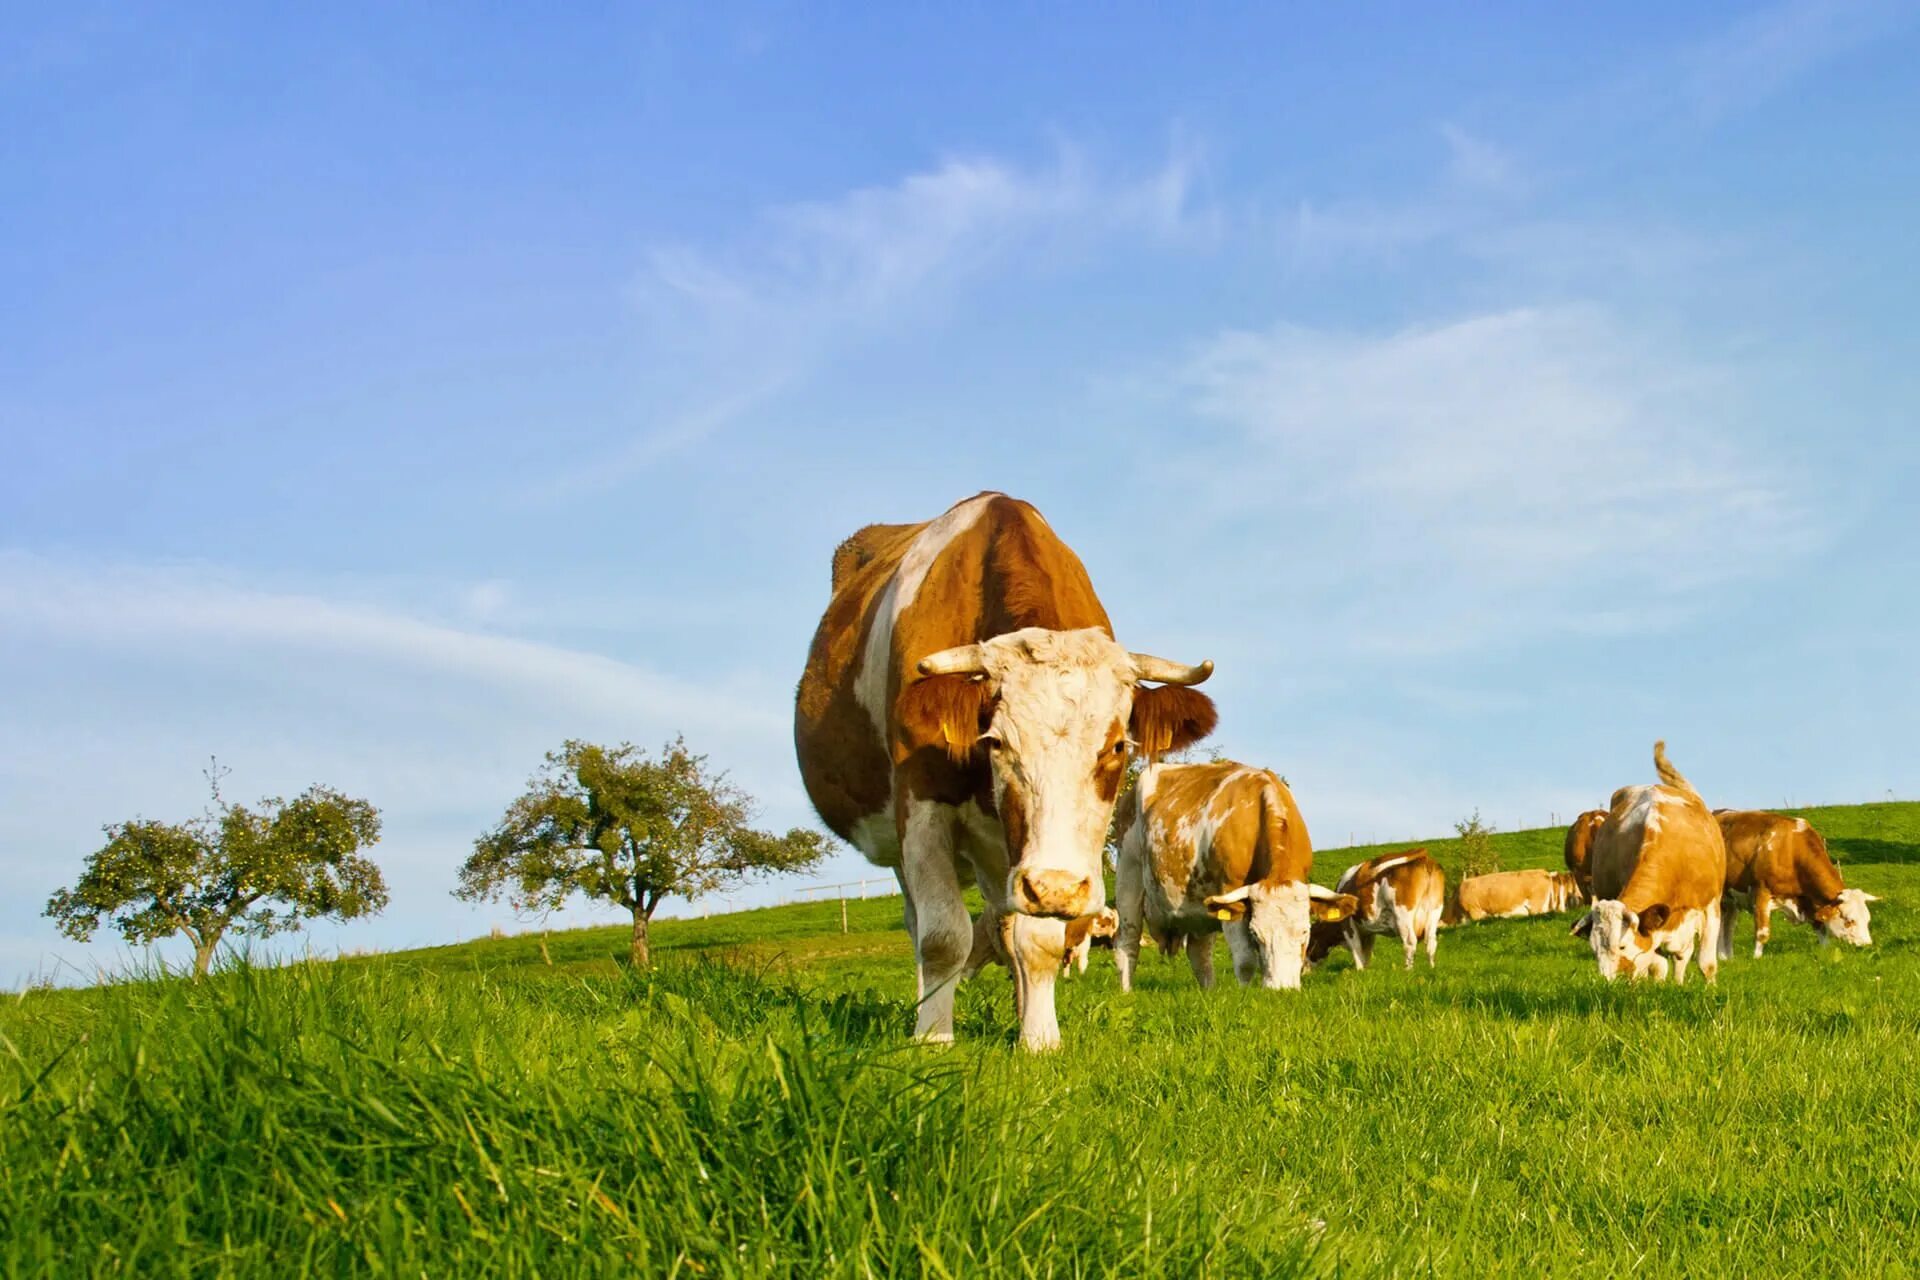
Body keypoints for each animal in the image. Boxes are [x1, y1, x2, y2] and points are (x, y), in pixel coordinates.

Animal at [794, 495, 1213, 1051]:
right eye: (996, 742)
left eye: (1119, 746)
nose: (1056, 887)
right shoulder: (921, 805)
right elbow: (942, 935)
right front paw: (933, 1037)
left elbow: (1037, 938)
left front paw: (1038, 1036)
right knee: (921, 923)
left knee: (1004, 926)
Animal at [1105, 759, 1359, 990]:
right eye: (1256, 935)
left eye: (1305, 931)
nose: (1281, 989)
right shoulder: (1230, 890)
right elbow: (1245, 960)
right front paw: (1244, 996)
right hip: (1128, 874)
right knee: (1128, 943)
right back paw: (1127, 993)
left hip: (1199, 903)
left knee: (1200, 955)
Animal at [1305, 852, 1443, 971]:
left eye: (1308, 942)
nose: (1303, 970)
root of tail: (1424, 859)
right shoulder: (1368, 931)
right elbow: (1367, 952)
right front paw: (1366, 971)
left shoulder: (1347, 924)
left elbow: (1356, 948)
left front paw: (1359, 971)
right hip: (1434, 911)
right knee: (1431, 942)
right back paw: (1431, 968)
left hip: (1403, 914)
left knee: (1410, 942)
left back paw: (1408, 971)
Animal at [1566, 740, 1735, 982]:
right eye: (1595, 950)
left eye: (1622, 946)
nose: (1609, 984)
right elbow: (1656, 964)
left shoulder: (1711, 907)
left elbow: (1706, 963)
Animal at [1712, 809, 1873, 959]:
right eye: (1850, 920)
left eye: (1867, 919)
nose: (1866, 945)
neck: (1790, 849)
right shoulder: (1761, 893)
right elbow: (1762, 933)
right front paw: (1756, 959)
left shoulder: (1809, 900)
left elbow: (1820, 928)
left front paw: (1825, 952)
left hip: (1731, 901)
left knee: (1728, 926)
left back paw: (1727, 957)